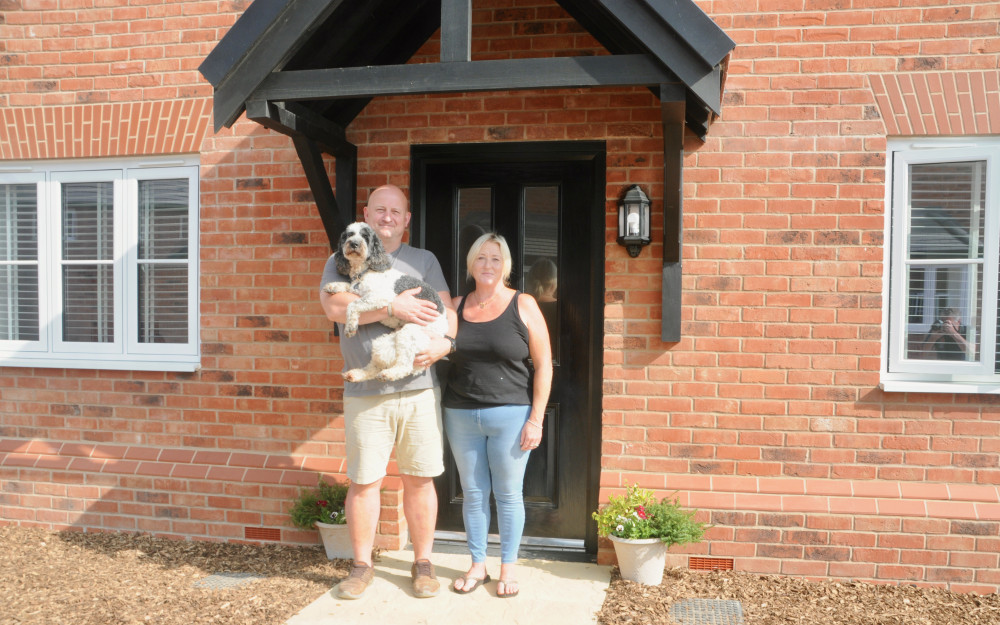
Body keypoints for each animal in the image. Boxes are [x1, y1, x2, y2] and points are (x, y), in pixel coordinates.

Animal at [322, 222, 448, 382]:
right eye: (349, 235)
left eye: (365, 236)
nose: (354, 243)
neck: (364, 271)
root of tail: (442, 331)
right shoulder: (359, 289)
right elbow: (349, 287)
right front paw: (334, 286)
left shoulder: (381, 296)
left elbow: (353, 304)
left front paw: (350, 326)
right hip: (383, 344)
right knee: (375, 367)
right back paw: (356, 374)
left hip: (410, 333)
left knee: (405, 366)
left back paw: (390, 374)